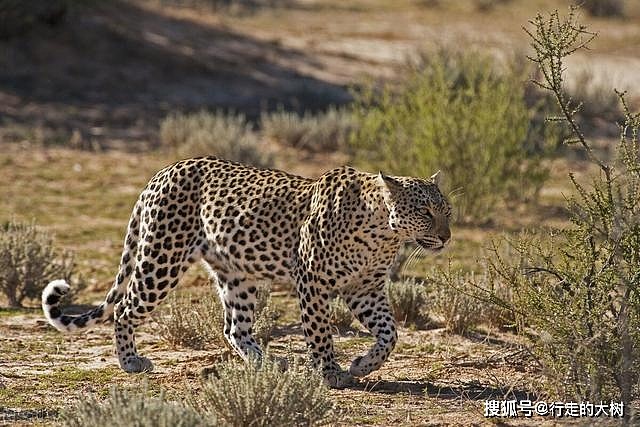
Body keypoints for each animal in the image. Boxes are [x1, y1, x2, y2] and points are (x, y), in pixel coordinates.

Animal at [41, 156, 450, 388]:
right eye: (425, 212)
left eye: (446, 210)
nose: (447, 237)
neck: (384, 231)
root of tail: (162, 171)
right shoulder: (312, 281)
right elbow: (320, 333)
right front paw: (330, 372)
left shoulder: (365, 288)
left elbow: (390, 334)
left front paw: (363, 365)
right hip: (162, 259)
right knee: (125, 308)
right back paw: (130, 363)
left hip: (236, 275)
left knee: (234, 328)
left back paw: (270, 364)